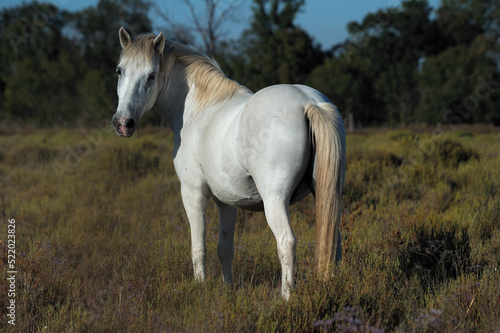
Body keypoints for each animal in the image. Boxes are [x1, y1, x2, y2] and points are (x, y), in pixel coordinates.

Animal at [112, 27, 344, 298]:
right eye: (120, 70)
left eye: (151, 75)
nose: (123, 123)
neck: (198, 109)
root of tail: (308, 102)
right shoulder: (227, 203)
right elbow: (225, 249)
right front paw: (228, 289)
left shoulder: (193, 194)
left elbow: (198, 248)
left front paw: (200, 288)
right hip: (327, 194)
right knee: (333, 242)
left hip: (275, 200)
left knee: (286, 243)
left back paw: (286, 298)